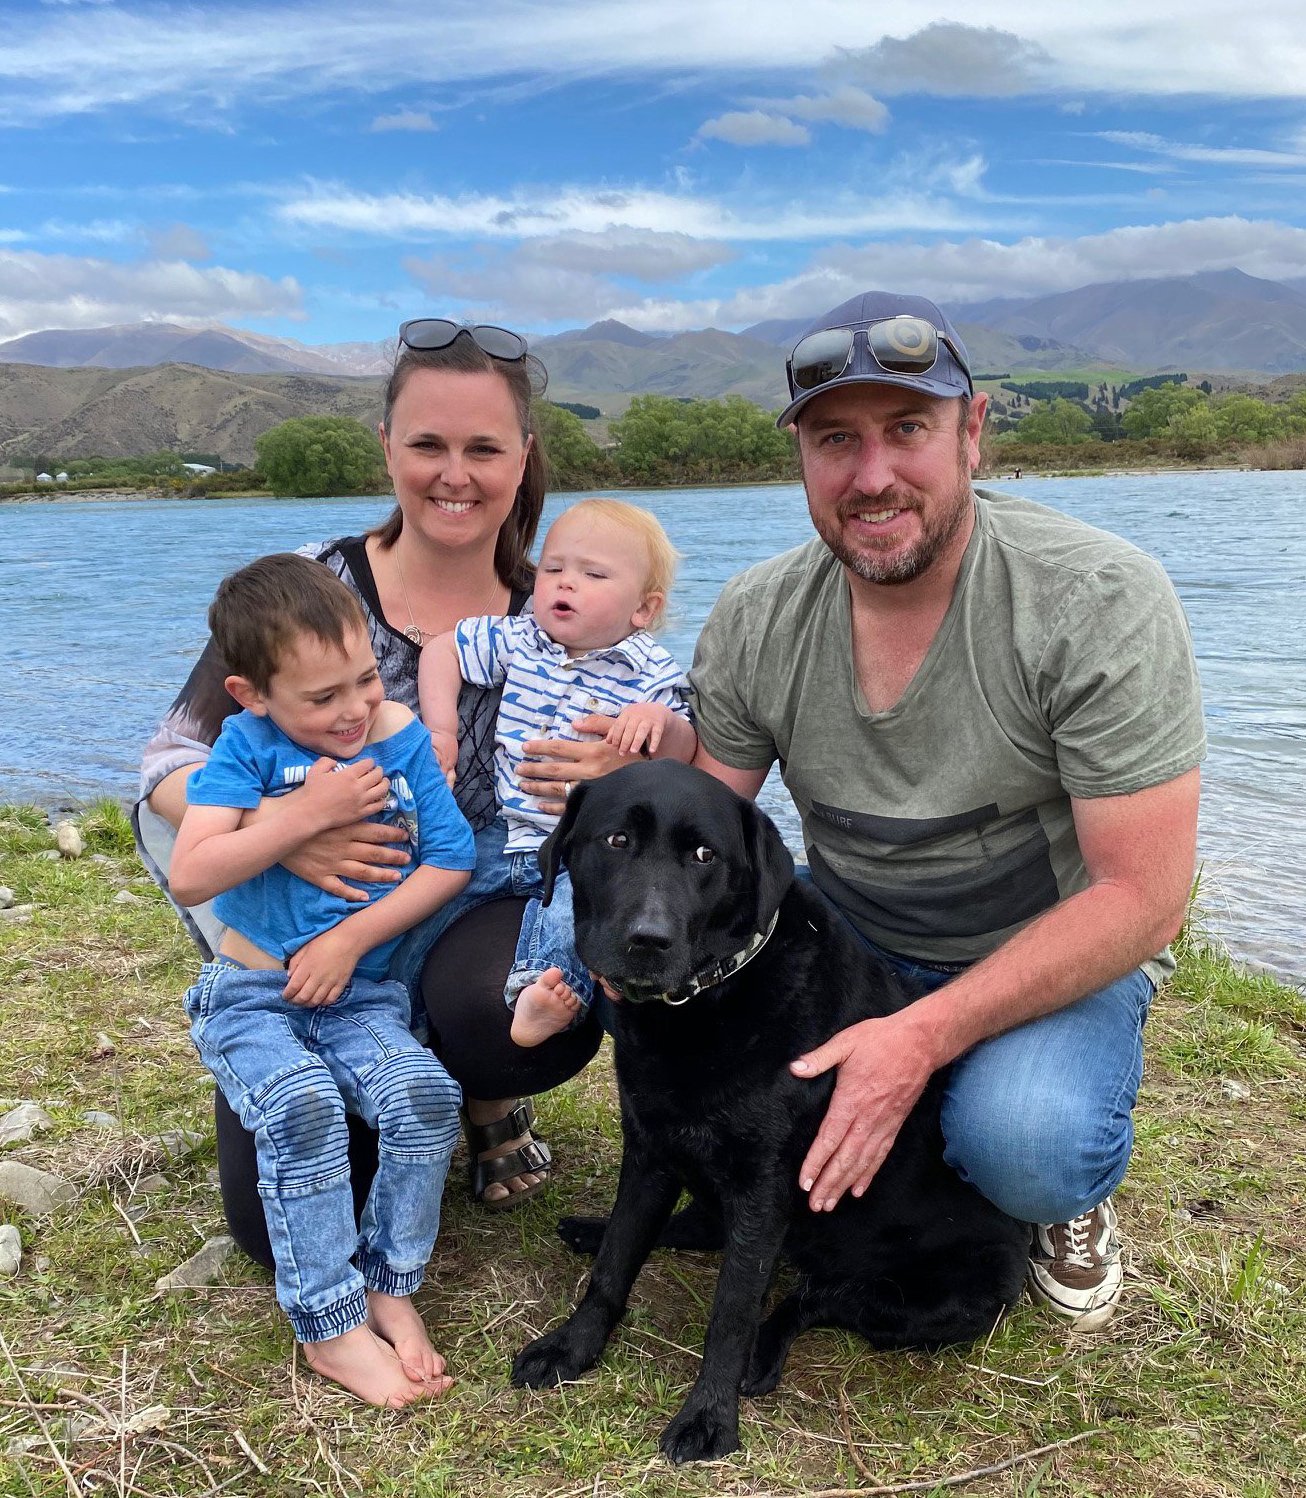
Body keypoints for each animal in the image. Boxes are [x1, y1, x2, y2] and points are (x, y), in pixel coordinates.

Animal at [509, 760, 1030, 1462]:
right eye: (616, 841)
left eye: (705, 855)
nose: (649, 941)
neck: (707, 1000)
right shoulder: (650, 1150)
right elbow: (615, 1262)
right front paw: (571, 1347)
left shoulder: (764, 1190)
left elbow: (731, 1313)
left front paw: (709, 1416)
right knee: (698, 1231)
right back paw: (590, 1230)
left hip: (934, 1296)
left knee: (809, 1302)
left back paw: (763, 1351)